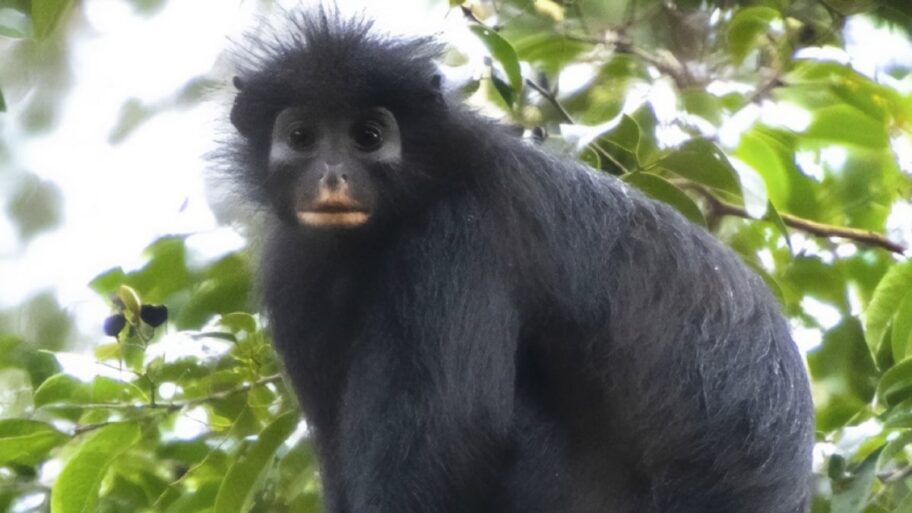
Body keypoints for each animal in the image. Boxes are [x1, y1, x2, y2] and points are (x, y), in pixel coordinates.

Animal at [220, 10, 814, 513]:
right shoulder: (294, 270)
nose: (332, 176)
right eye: (302, 137)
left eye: (368, 137)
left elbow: (453, 441)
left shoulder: (455, 238)